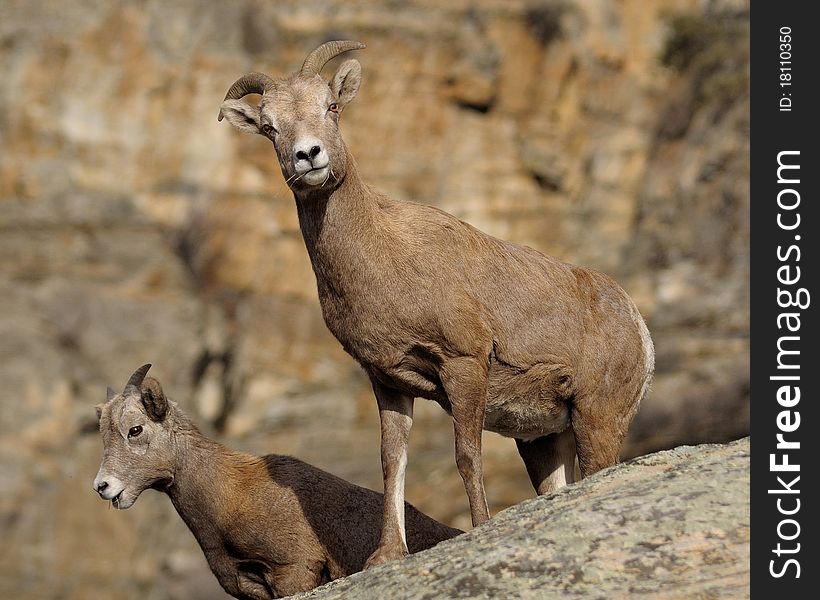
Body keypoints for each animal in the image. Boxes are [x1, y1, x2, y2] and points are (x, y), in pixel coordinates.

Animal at [218, 41, 652, 568]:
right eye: (270, 127)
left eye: (332, 107)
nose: (308, 156)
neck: (385, 254)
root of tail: (635, 323)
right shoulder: (388, 381)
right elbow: (392, 463)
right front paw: (386, 556)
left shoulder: (463, 365)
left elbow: (467, 455)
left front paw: (481, 527)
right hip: (544, 442)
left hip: (597, 420)